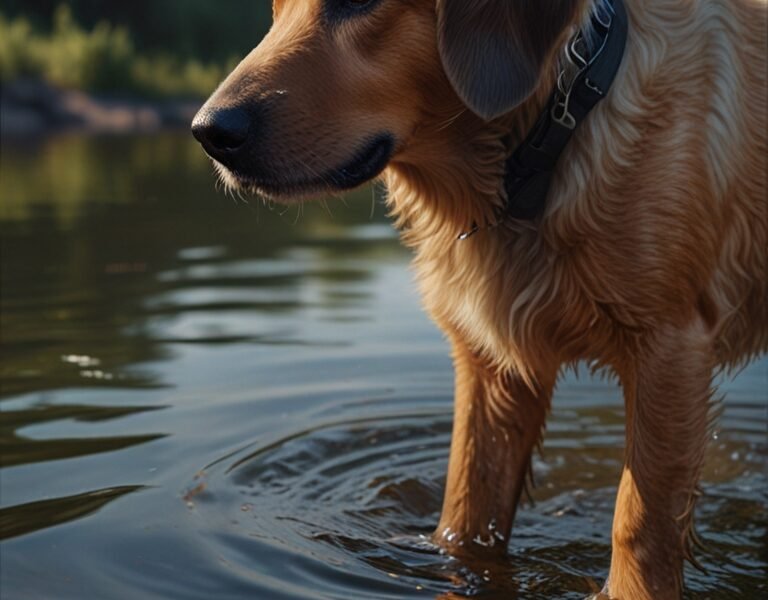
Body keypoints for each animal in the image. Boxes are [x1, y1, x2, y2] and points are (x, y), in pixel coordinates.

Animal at [192, 2, 768, 596]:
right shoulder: (491, 363)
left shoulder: (670, 351)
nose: (209, 131)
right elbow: (467, 511)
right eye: (275, 10)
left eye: (358, 4)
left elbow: (639, 524)